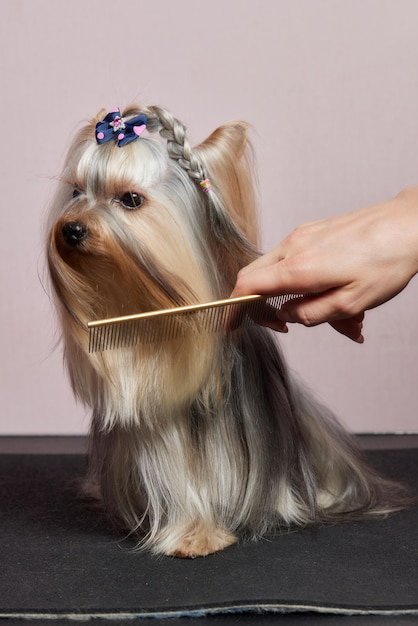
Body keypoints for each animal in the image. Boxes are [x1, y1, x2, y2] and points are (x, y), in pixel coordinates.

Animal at [45, 106, 404, 556]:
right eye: (76, 192)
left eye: (130, 199)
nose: (71, 230)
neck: (146, 307)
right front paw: (192, 532)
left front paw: (197, 535)